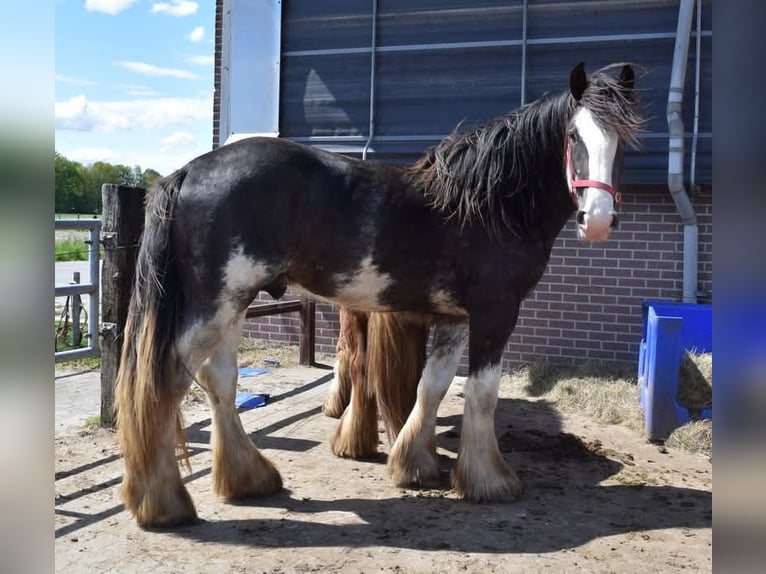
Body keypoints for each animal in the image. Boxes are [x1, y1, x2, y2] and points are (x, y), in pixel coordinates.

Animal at [115, 62, 643, 528]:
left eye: (623, 142)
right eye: (573, 136)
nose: (597, 221)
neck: (489, 206)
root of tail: (187, 173)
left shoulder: (455, 318)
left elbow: (432, 386)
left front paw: (415, 466)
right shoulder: (495, 314)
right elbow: (482, 394)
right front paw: (489, 482)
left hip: (231, 305)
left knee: (219, 381)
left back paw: (248, 479)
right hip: (214, 307)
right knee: (165, 383)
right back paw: (162, 504)